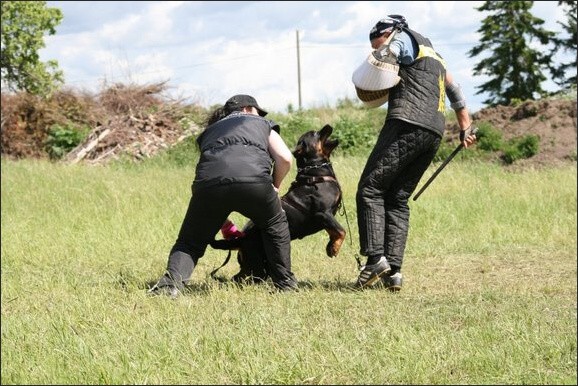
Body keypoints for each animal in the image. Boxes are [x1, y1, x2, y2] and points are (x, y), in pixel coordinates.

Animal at [212, 124, 346, 284]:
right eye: (315, 133)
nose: (328, 126)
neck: (316, 174)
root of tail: (242, 238)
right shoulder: (323, 213)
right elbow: (341, 230)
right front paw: (335, 248)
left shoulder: (327, 217)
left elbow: (333, 231)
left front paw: (330, 246)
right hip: (255, 262)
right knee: (243, 277)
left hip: (257, 262)